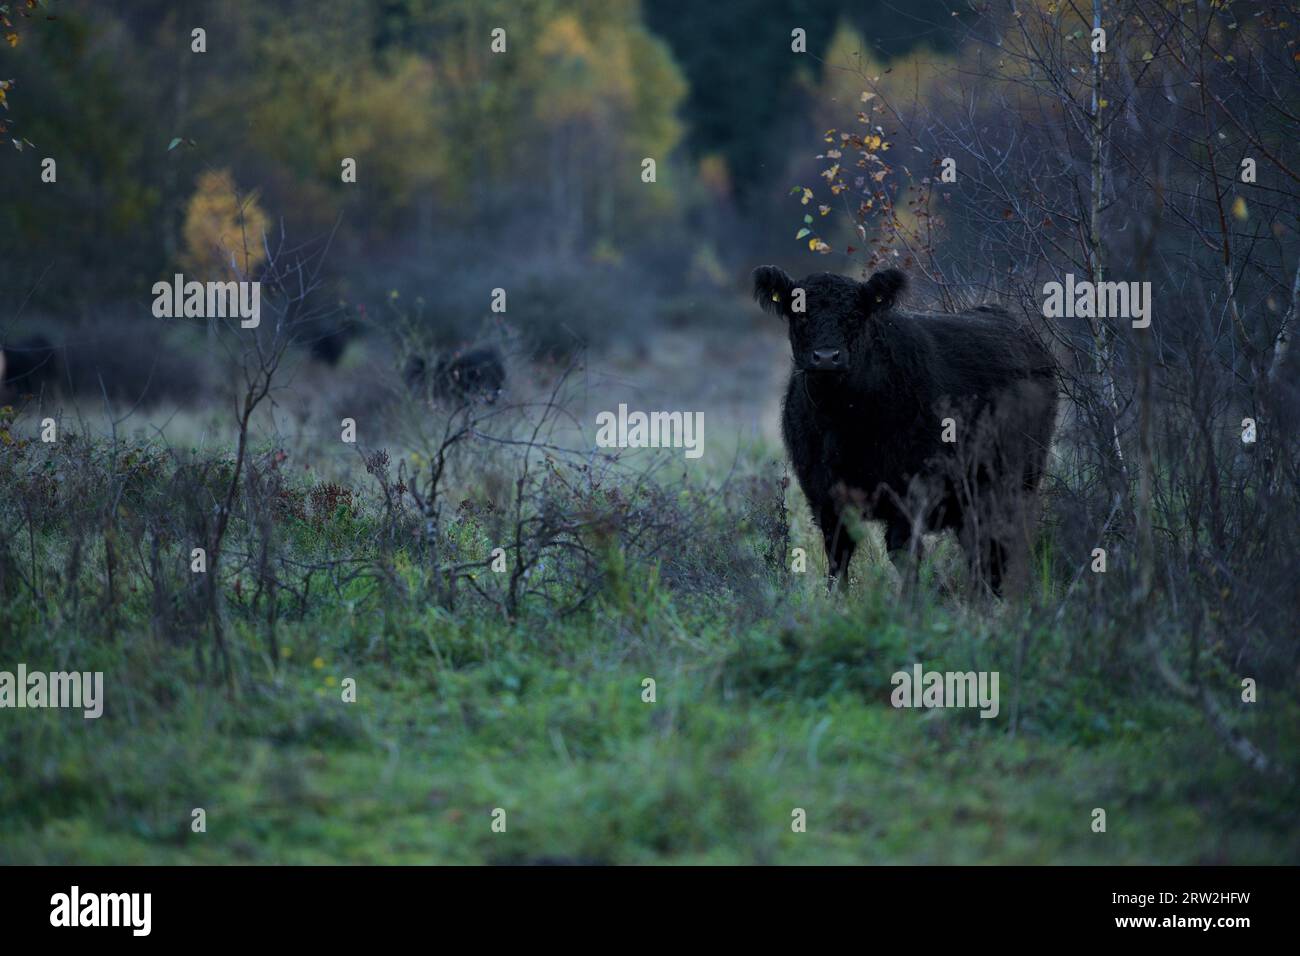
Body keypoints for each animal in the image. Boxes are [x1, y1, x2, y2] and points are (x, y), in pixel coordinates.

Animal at [759, 269, 1060, 595]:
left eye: (855, 314)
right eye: (800, 313)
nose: (827, 357)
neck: (842, 421)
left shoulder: (909, 490)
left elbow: (902, 552)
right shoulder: (824, 496)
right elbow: (839, 555)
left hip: (1014, 481)